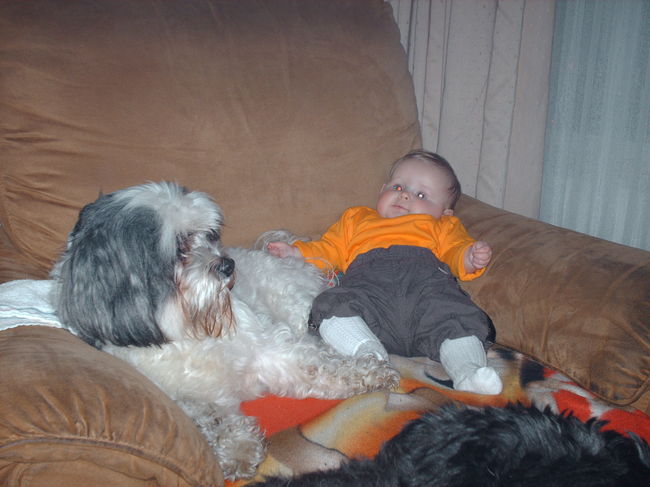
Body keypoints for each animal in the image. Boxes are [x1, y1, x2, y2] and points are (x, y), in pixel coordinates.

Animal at [51, 181, 399, 480]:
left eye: (208, 235)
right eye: (179, 249)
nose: (227, 265)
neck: (191, 330)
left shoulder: (271, 350)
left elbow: (322, 368)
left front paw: (371, 374)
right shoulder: (184, 397)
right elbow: (214, 418)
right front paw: (238, 450)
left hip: (292, 303)